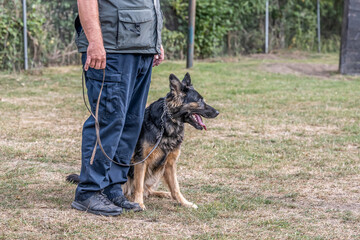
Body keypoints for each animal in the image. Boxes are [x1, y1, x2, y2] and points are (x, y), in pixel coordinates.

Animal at [67, 73, 219, 210]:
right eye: (199, 100)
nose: (217, 112)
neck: (166, 123)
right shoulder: (141, 160)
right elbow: (138, 186)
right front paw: (139, 203)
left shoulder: (170, 163)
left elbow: (175, 187)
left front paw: (184, 203)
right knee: (128, 189)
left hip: (158, 171)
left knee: (149, 190)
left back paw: (163, 193)